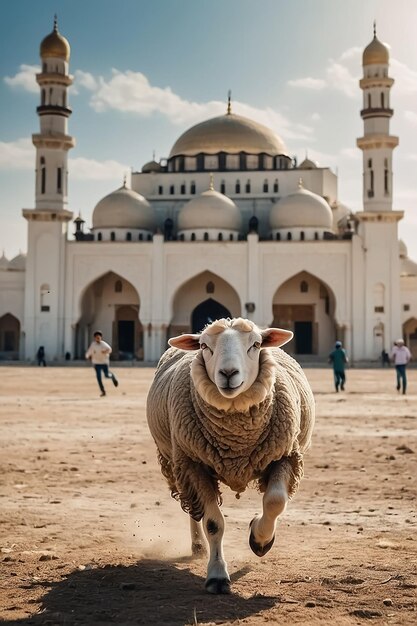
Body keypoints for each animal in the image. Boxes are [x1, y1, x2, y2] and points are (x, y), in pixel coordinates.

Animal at [146, 316, 312, 588]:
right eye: (204, 346)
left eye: (256, 344)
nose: (228, 373)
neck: (237, 439)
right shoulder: (194, 465)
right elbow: (213, 523)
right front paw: (216, 574)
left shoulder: (285, 455)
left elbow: (275, 501)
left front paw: (260, 539)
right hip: (178, 461)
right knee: (195, 510)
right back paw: (198, 545)